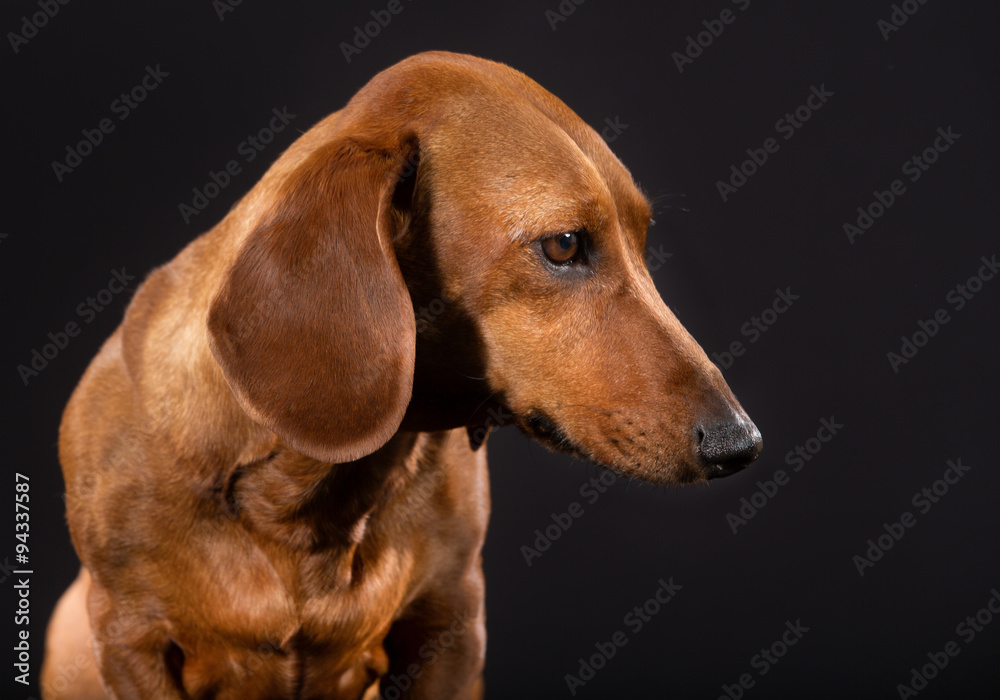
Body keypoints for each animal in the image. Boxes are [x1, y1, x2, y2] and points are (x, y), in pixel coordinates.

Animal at [37, 50, 756, 700]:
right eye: (564, 244)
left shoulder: (449, 625)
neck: (301, 499)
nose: (740, 443)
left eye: (643, 237)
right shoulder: (131, 640)